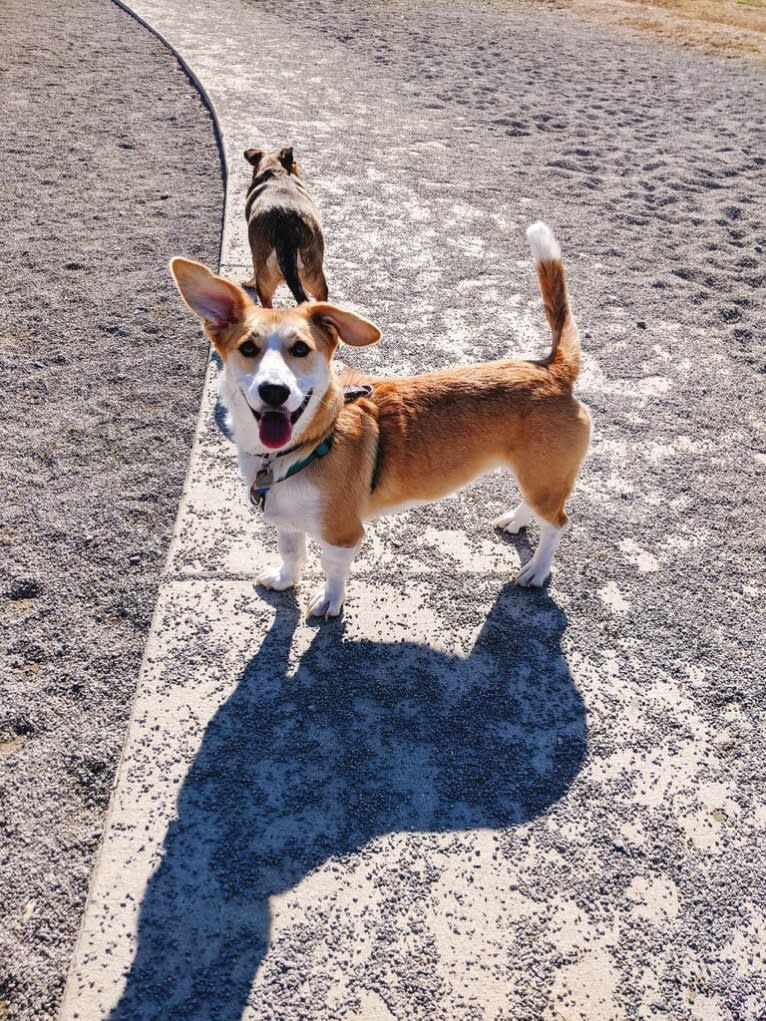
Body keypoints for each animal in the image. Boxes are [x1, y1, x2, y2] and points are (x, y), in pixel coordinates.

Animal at [170, 223, 592, 616]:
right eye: (248, 348)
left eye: (301, 349)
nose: (274, 391)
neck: (308, 445)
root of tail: (552, 369)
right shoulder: (287, 522)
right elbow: (291, 554)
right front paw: (285, 580)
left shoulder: (343, 535)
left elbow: (332, 569)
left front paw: (330, 601)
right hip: (538, 475)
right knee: (537, 506)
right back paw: (517, 521)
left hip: (544, 476)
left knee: (558, 523)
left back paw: (537, 570)